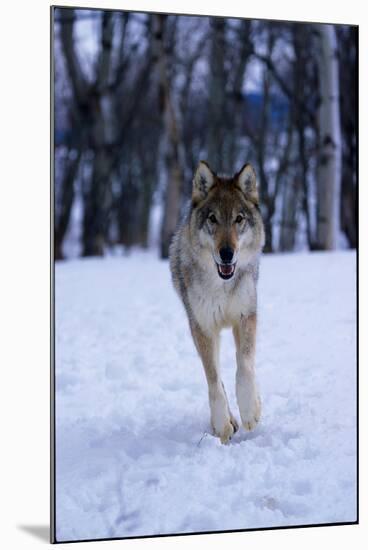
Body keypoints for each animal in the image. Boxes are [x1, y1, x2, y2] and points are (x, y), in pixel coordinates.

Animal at [170, 162, 264, 446]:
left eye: (238, 219)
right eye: (213, 219)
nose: (226, 253)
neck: (222, 286)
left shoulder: (245, 316)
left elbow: (244, 366)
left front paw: (250, 410)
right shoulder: (202, 328)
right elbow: (213, 380)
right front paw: (222, 423)